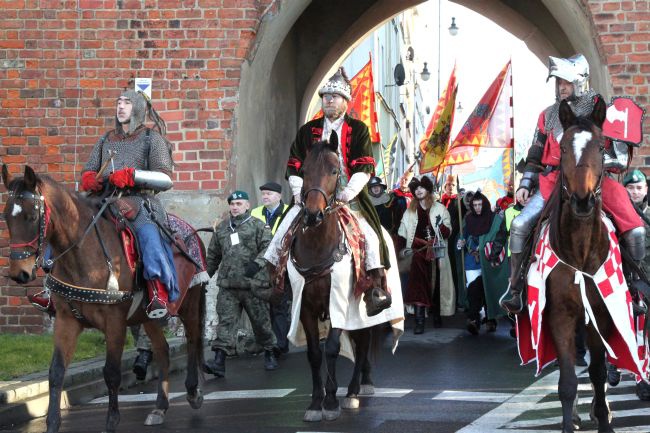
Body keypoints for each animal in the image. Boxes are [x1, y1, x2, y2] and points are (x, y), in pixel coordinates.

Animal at [1, 164, 205, 430]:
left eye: (32, 217)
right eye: (6, 217)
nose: (19, 274)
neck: (81, 254)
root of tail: (193, 233)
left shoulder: (114, 321)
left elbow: (111, 372)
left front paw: (111, 421)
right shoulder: (66, 320)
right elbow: (56, 372)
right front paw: (53, 423)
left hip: (188, 304)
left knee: (192, 339)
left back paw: (193, 392)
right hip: (147, 316)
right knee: (163, 349)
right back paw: (159, 407)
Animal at [292, 139, 388, 422]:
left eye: (334, 171)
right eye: (304, 172)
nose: (313, 215)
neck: (317, 246)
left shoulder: (338, 303)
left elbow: (333, 348)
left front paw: (332, 401)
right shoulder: (305, 307)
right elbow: (314, 353)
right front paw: (316, 402)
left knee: (363, 343)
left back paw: (354, 391)